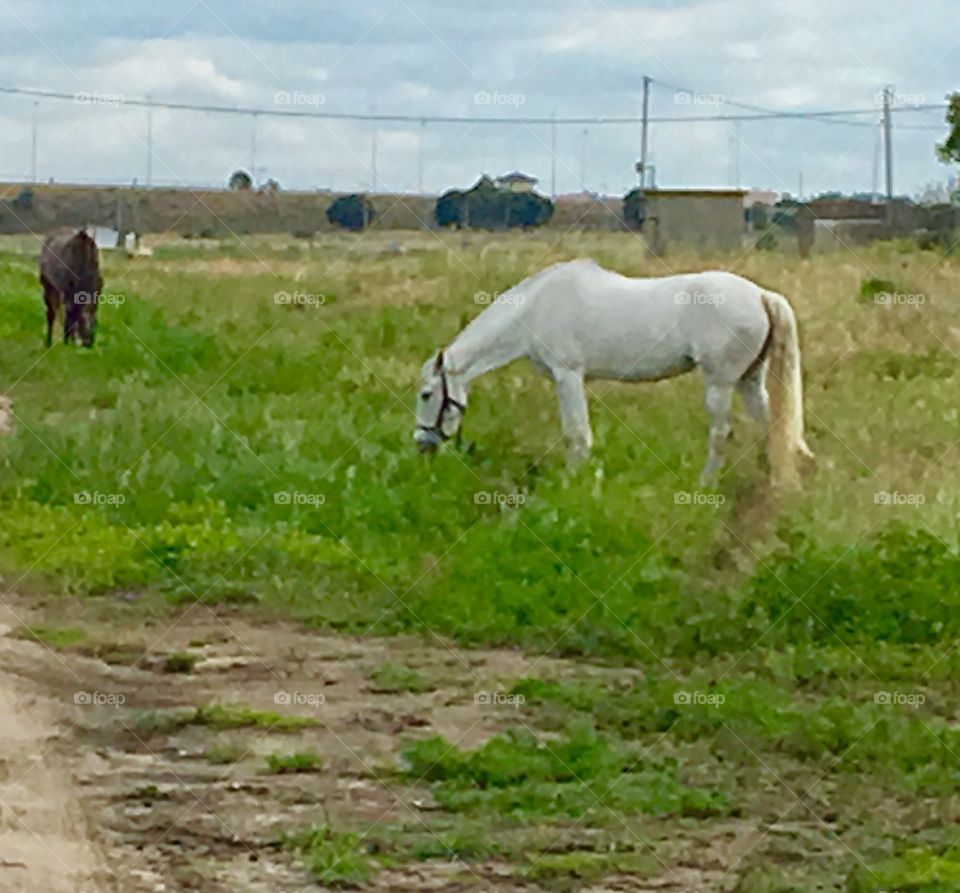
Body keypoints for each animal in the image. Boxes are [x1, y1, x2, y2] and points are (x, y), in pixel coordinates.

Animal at [412, 258, 808, 488]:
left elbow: (577, 434)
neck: (533, 310)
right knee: (771, 426)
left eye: (427, 394)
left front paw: (573, 482)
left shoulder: (568, 376)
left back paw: (705, 486)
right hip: (749, 380)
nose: (422, 444)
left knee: (721, 434)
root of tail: (760, 295)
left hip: (721, 383)